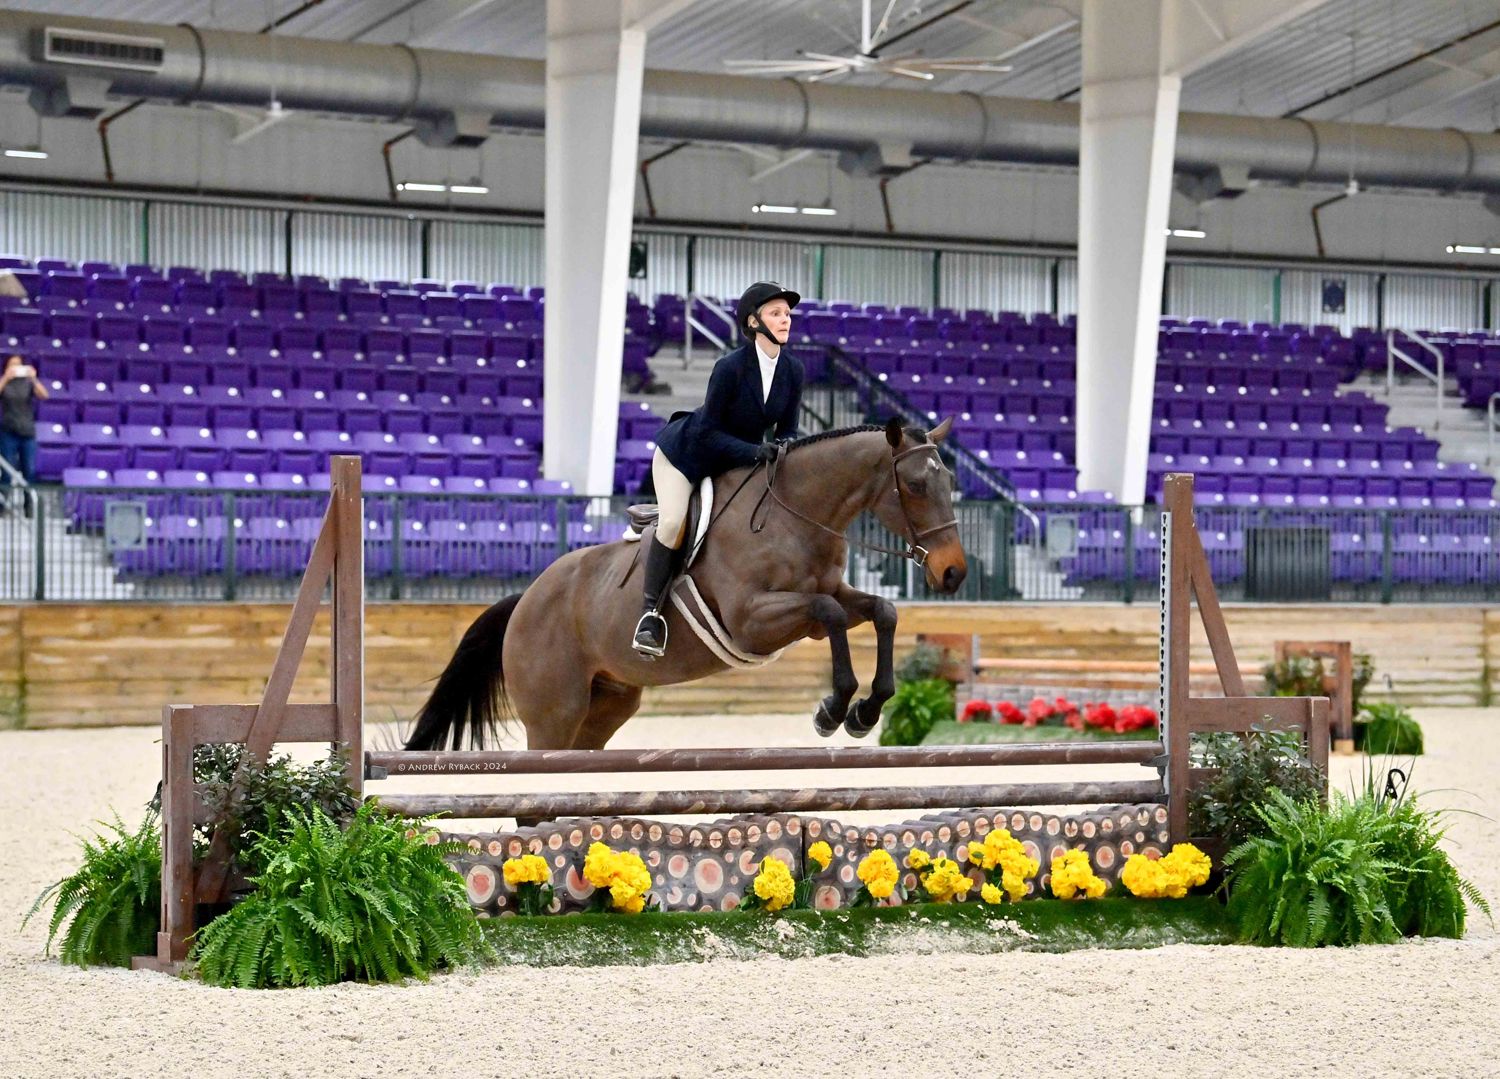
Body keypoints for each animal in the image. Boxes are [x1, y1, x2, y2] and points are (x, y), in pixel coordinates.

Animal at [408, 417, 972, 756]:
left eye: (950, 484)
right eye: (915, 486)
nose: (953, 573)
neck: (796, 514)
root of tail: (525, 600)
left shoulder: (826, 598)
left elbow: (881, 612)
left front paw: (866, 711)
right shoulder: (753, 619)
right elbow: (830, 615)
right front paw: (833, 710)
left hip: (606, 705)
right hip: (553, 714)